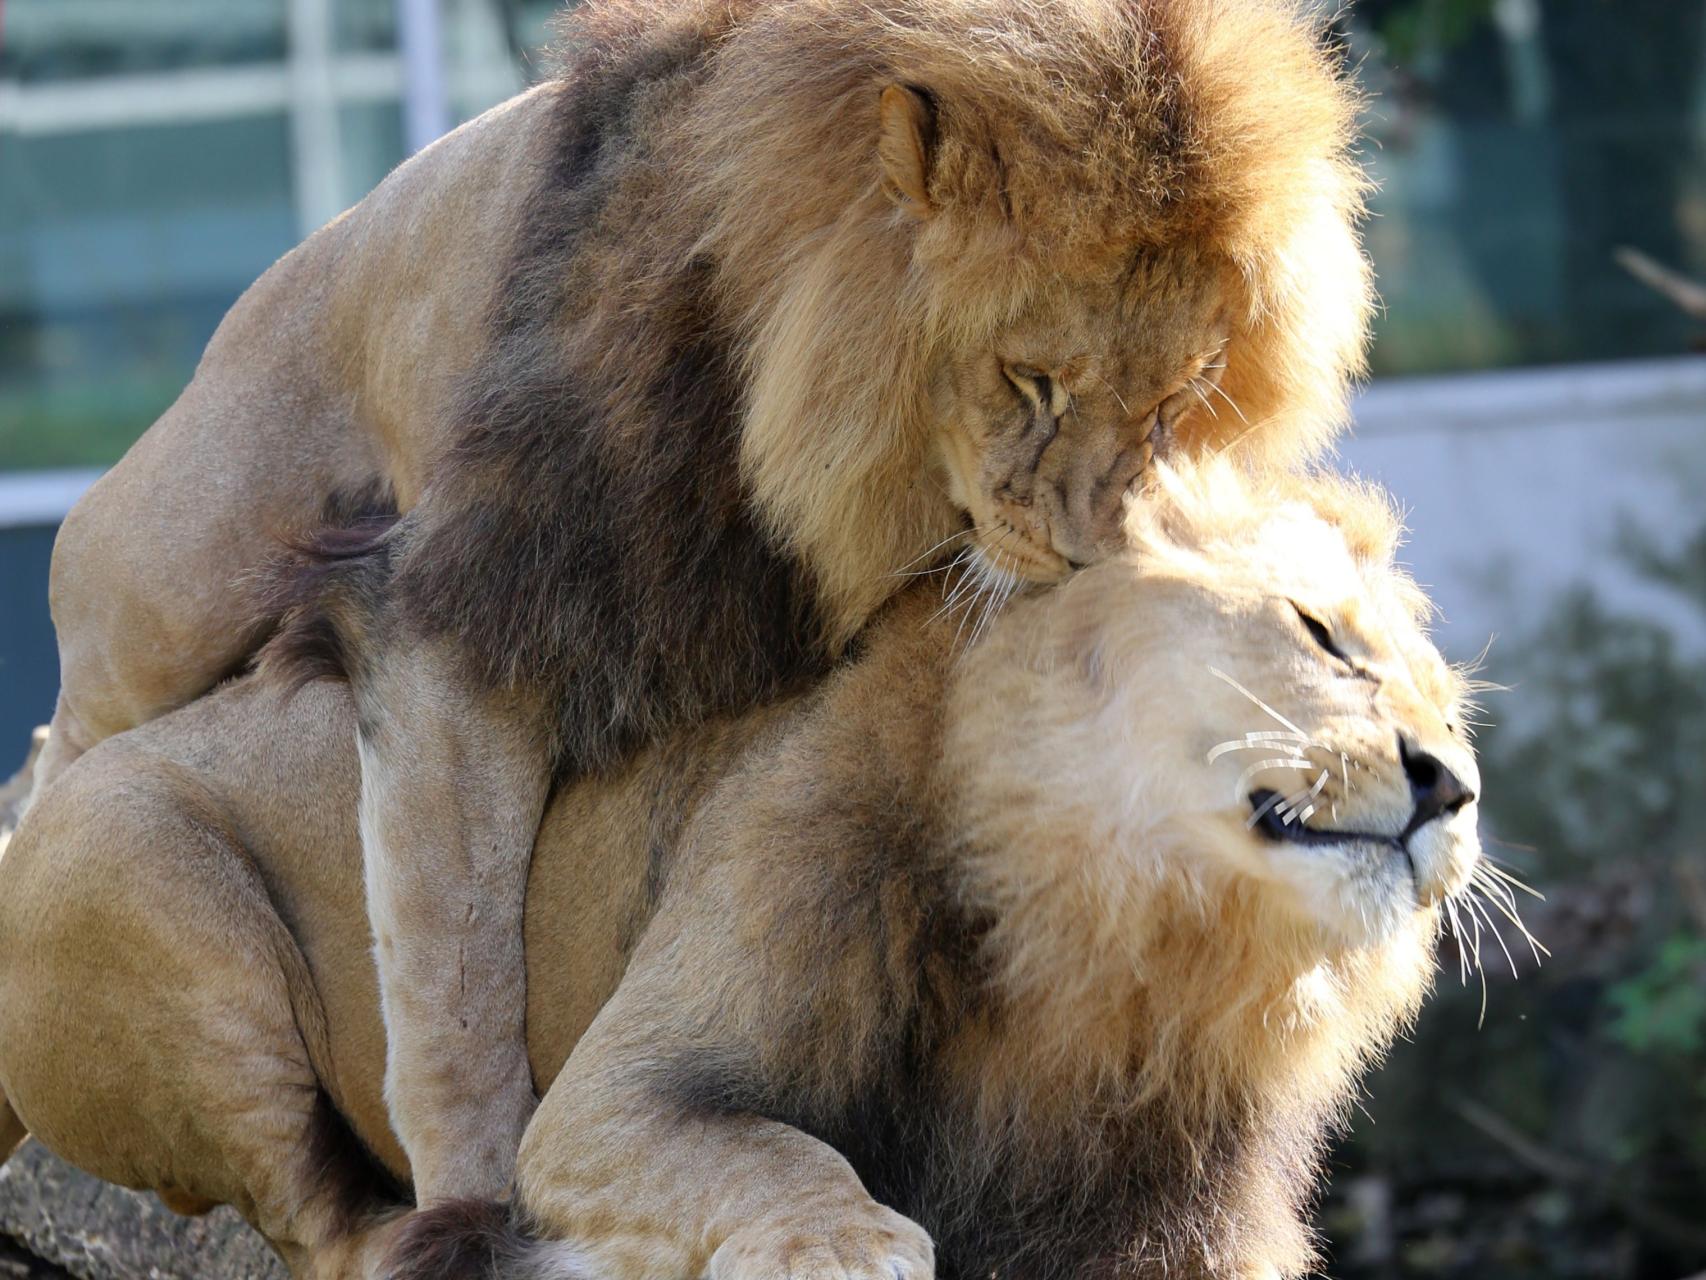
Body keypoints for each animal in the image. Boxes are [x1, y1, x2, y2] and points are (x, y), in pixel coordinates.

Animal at [1, 464, 1482, 1279]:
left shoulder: (1177, 1202)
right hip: (146, 883)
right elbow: (770, 1149)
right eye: (1323, 639)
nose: (1449, 786)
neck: (1120, 940)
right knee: (320, 1227)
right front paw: (853, 1242)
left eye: (1452, 710)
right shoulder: (618, 1097)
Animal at [31, 0, 1372, 1204]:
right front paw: (476, 1200)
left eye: (1183, 392)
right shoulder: (461, 616)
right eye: (1029, 378)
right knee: (63, 739)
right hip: (175, 581)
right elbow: (456, 981)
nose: (1101, 550)